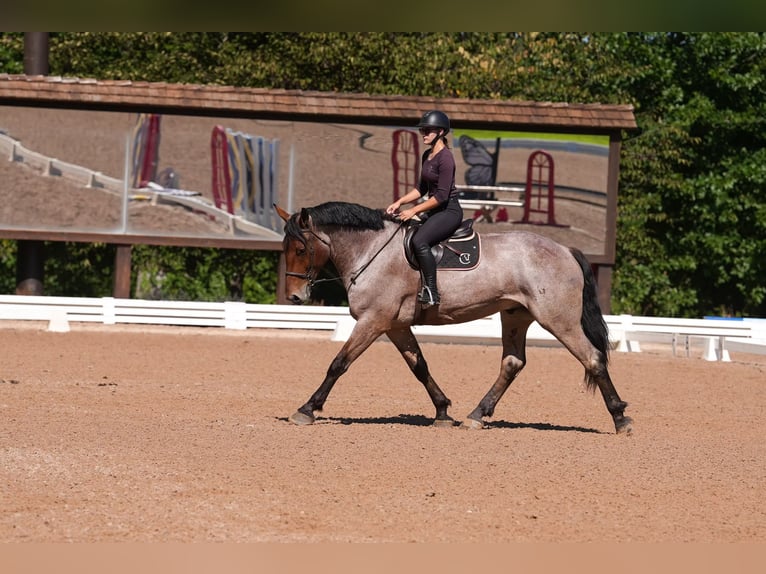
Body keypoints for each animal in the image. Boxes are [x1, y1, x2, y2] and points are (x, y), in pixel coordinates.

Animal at [275, 201, 633, 435]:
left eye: (301, 249)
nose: (294, 297)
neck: (372, 249)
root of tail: (565, 250)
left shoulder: (373, 321)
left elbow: (339, 364)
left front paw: (306, 409)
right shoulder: (395, 325)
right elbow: (419, 367)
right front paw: (443, 410)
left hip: (559, 319)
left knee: (592, 358)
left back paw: (620, 419)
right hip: (515, 316)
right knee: (512, 363)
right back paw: (477, 414)